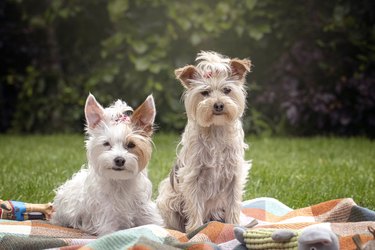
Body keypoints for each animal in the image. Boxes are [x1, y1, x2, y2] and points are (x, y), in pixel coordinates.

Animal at [50, 93, 162, 235]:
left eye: (131, 144)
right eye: (106, 144)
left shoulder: (147, 214)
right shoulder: (108, 222)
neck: (120, 183)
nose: (119, 160)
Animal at [156, 50, 253, 232]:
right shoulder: (192, 176)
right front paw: (195, 229)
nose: (218, 105)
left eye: (227, 90)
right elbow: (194, 205)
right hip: (168, 200)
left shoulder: (234, 175)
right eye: (205, 92)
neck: (216, 129)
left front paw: (234, 224)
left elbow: (233, 203)